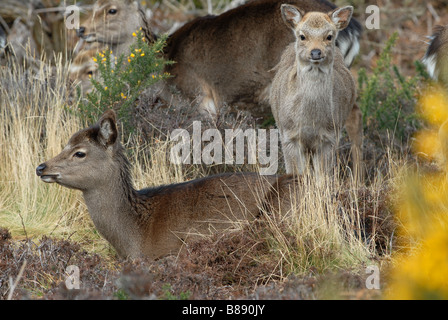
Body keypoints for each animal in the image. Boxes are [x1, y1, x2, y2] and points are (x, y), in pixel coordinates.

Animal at [268, 5, 362, 179]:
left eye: (329, 36)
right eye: (302, 36)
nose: (316, 52)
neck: (309, 121)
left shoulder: (329, 137)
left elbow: (323, 177)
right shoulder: (287, 135)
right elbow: (295, 173)